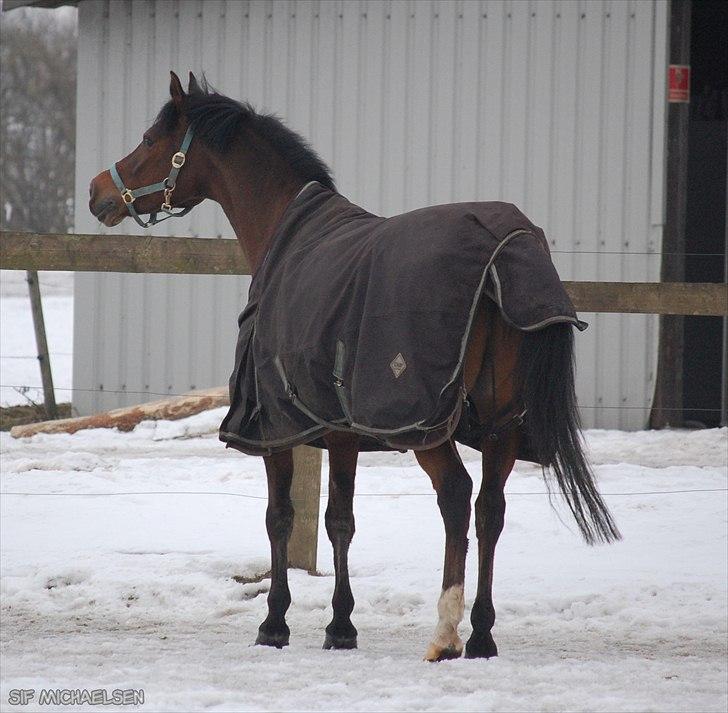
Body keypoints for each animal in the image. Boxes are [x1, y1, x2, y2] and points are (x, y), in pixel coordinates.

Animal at [88, 73, 616, 660]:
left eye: (150, 140)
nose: (96, 191)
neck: (286, 231)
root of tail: (505, 252)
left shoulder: (274, 427)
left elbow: (280, 518)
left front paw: (275, 622)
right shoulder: (338, 427)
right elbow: (340, 520)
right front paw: (341, 625)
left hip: (428, 428)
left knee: (456, 499)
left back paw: (445, 634)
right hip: (502, 425)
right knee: (489, 510)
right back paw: (481, 634)